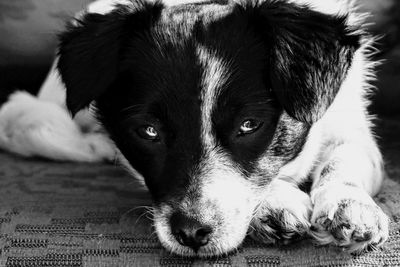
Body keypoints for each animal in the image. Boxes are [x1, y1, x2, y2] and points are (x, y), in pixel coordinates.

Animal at [0, 0, 390, 258]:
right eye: (149, 131)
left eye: (249, 125)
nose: (191, 233)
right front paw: (276, 201)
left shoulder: (349, 122)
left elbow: (345, 161)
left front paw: (349, 205)